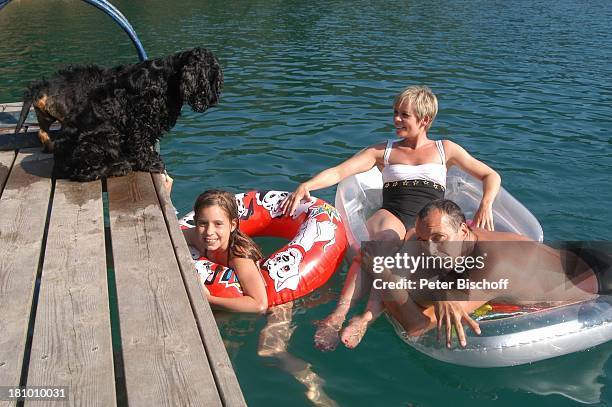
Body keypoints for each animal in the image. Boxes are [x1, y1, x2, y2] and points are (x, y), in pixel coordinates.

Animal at [16, 47, 222, 181]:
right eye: (211, 76)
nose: (214, 99)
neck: (168, 78)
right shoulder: (139, 119)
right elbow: (140, 144)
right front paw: (150, 163)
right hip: (102, 137)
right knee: (84, 173)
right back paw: (118, 167)